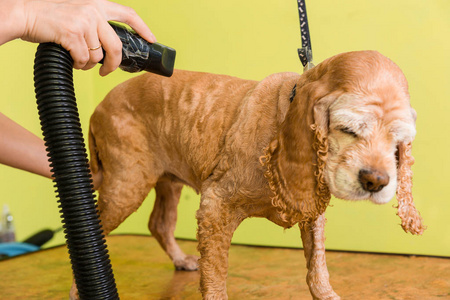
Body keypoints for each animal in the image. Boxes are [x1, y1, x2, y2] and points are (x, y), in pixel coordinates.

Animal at [74, 50, 426, 298]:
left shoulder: (311, 209)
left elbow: (317, 268)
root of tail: (99, 106)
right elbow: (216, 275)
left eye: (398, 141)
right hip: (127, 184)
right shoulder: (215, 205)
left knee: (159, 223)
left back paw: (180, 259)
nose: (375, 181)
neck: (285, 114)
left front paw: (327, 295)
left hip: (167, 180)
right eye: (349, 129)